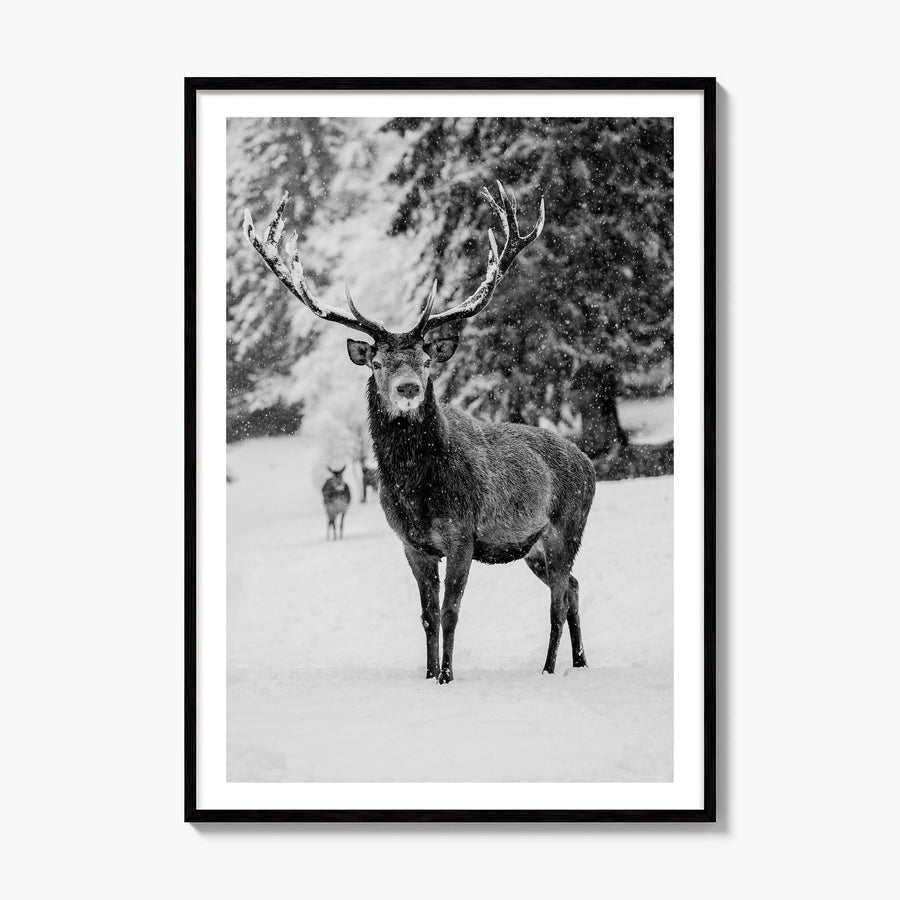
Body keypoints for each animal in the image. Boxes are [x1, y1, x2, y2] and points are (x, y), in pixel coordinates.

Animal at [244, 182, 596, 683]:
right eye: (376, 361)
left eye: (427, 360)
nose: (408, 387)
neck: (416, 489)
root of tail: (588, 462)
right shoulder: (412, 544)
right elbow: (427, 615)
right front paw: (429, 676)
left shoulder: (462, 534)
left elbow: (451, 611)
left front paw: (448, 676)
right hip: (532, 546)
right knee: (574, 588)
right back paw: (580, 661)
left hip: (569, 525)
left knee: (558, 599)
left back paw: (549, 668)